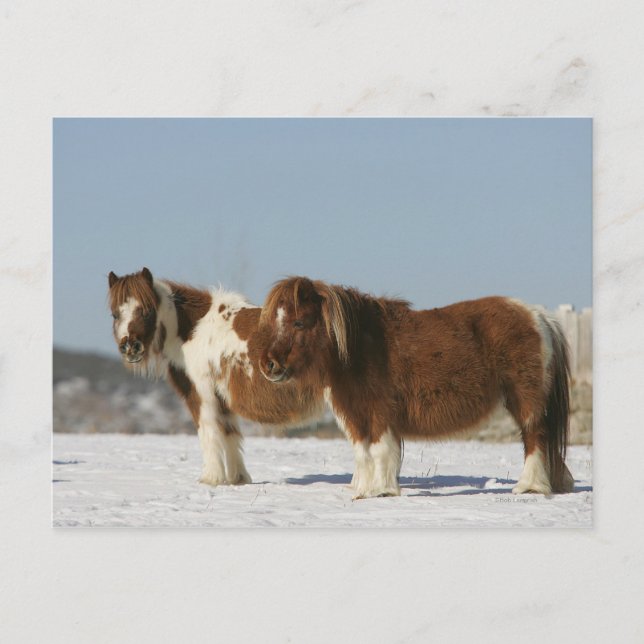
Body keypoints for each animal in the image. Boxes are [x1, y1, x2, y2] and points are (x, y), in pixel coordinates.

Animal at [108, 268, 324, 486]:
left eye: (147, 310)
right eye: (115, 314)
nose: (130, 347)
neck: (194, 330)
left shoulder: (202, 395)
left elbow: (209, 431)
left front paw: (211, 478)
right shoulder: (222, 399)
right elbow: (229, 434)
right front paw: (237, 478)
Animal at [258, 277, 574, 499]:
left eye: (299, 322)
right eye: (275, 320)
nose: (268, 365)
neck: (360, 346)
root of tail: (539, 315)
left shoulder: (379, 411)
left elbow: (380, 449)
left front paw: (382, 490)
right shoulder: (354, 413)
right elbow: (362, 452)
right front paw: (363, 490)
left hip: (526, 401)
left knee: (534, 438)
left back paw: (529, 487)